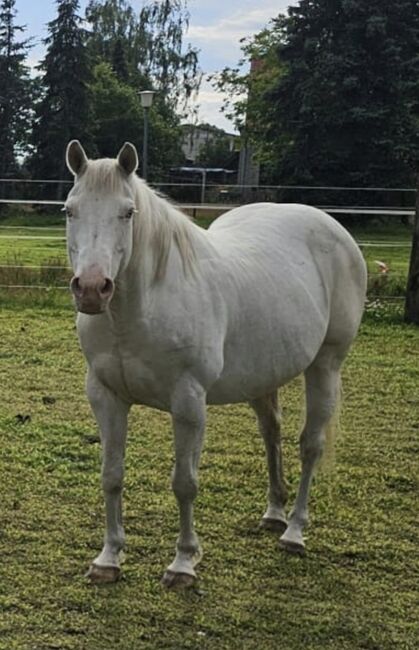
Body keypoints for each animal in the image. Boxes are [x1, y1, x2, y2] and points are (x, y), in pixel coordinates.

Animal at [63, 142, 368, 588]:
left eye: (128, 212)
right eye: (70, 210)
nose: (90, 288)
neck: (142, 308)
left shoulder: (189, 403)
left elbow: (185, 483)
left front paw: (183, 564)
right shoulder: (106, 397)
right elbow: (111, 476)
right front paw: (108, 559)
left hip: (326, 365)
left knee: (311, 445)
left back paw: (294, 532)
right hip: (263, 375)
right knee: (271, 432)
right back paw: (274, 513)